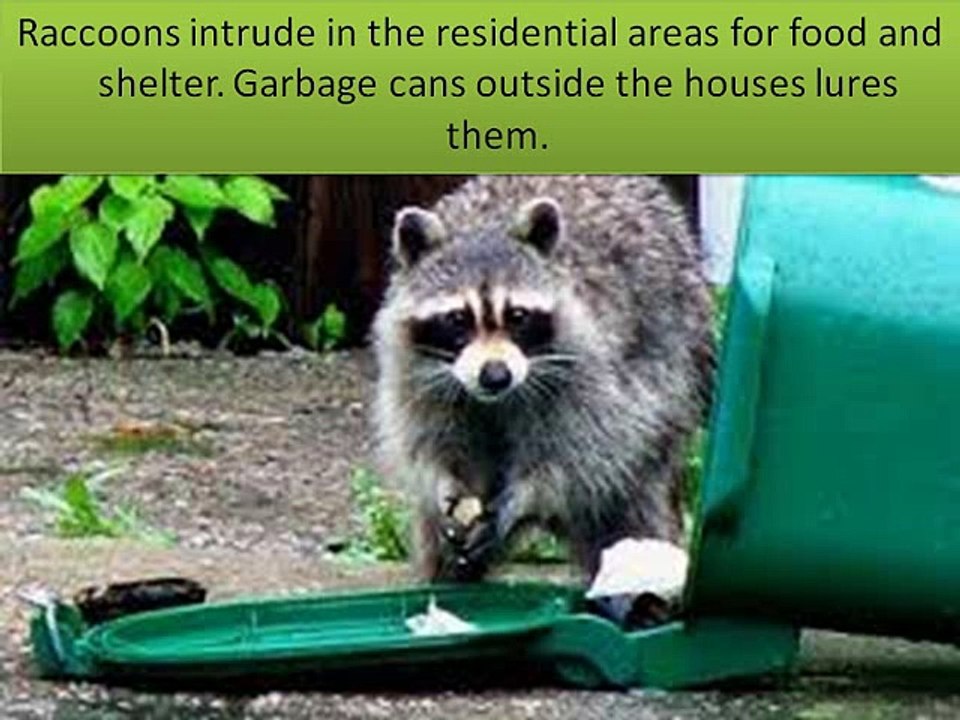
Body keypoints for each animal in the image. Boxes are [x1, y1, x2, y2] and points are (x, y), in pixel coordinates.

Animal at [371, 175, 714, 583]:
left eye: (517, 315)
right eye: (458, 318)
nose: (496, 376)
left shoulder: (592, 366)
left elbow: (584, 450)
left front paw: (523, 497)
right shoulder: (414, 373)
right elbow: (427, 440)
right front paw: (444, 483)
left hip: (677, 367)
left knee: (631, 506)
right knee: (437, 548)